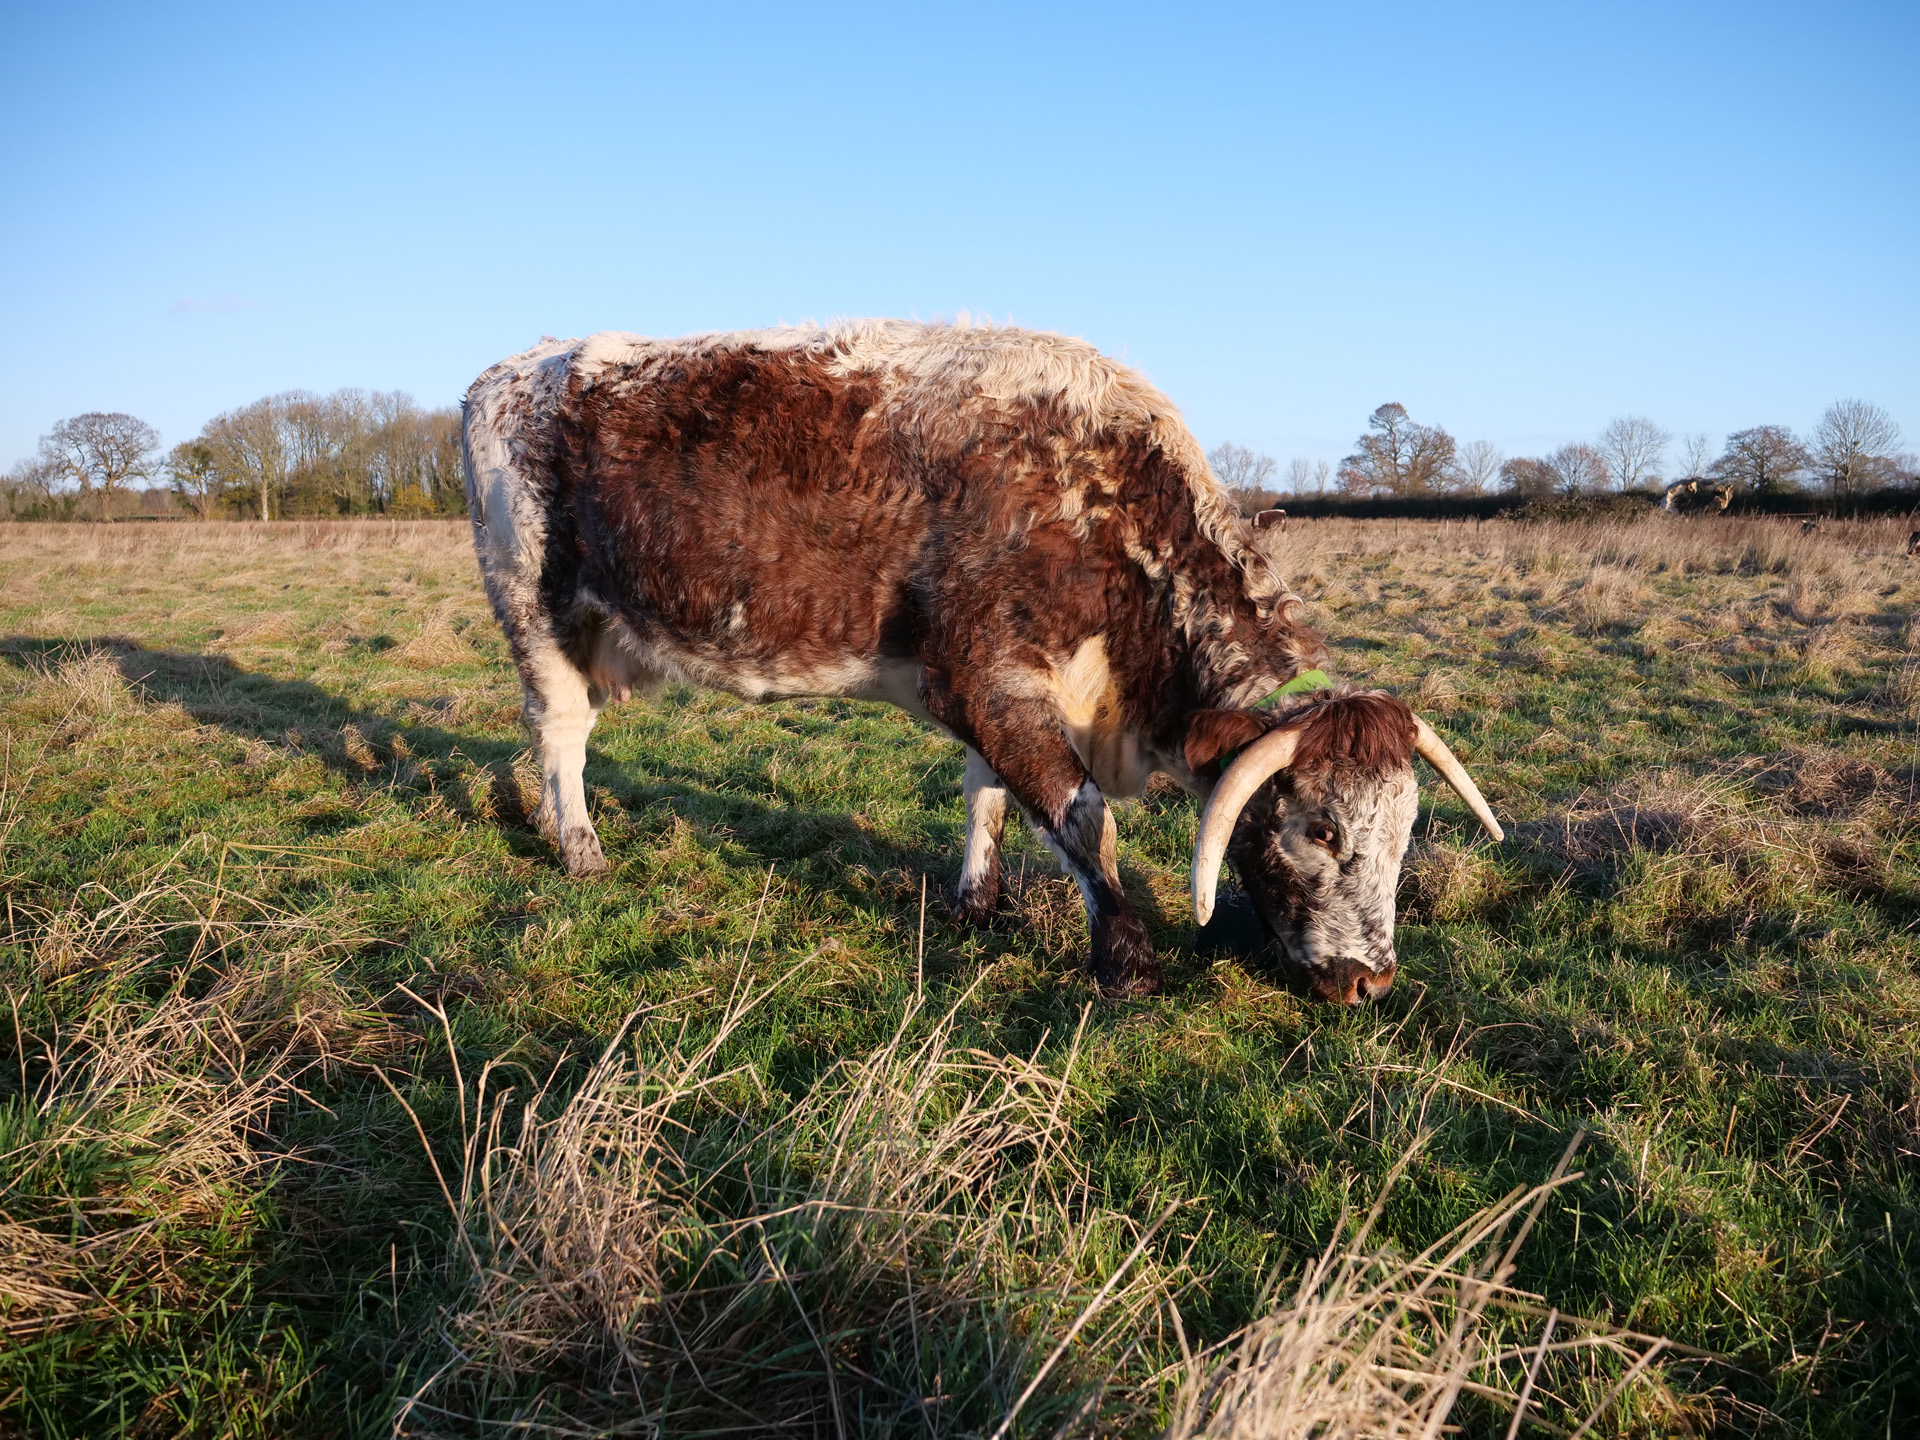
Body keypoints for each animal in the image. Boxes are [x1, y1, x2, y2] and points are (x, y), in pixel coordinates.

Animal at [461, 321, 1503, 1004]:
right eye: (1321, 829)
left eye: (1407, 832)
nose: (1369, 982)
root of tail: (507, 372)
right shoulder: (986, 679)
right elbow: (1084, 820)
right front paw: (1125, 958)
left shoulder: (995, 692)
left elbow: (988, 796)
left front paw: (978, 902)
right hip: (535, 610)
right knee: (561, 734)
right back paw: (580, 849)